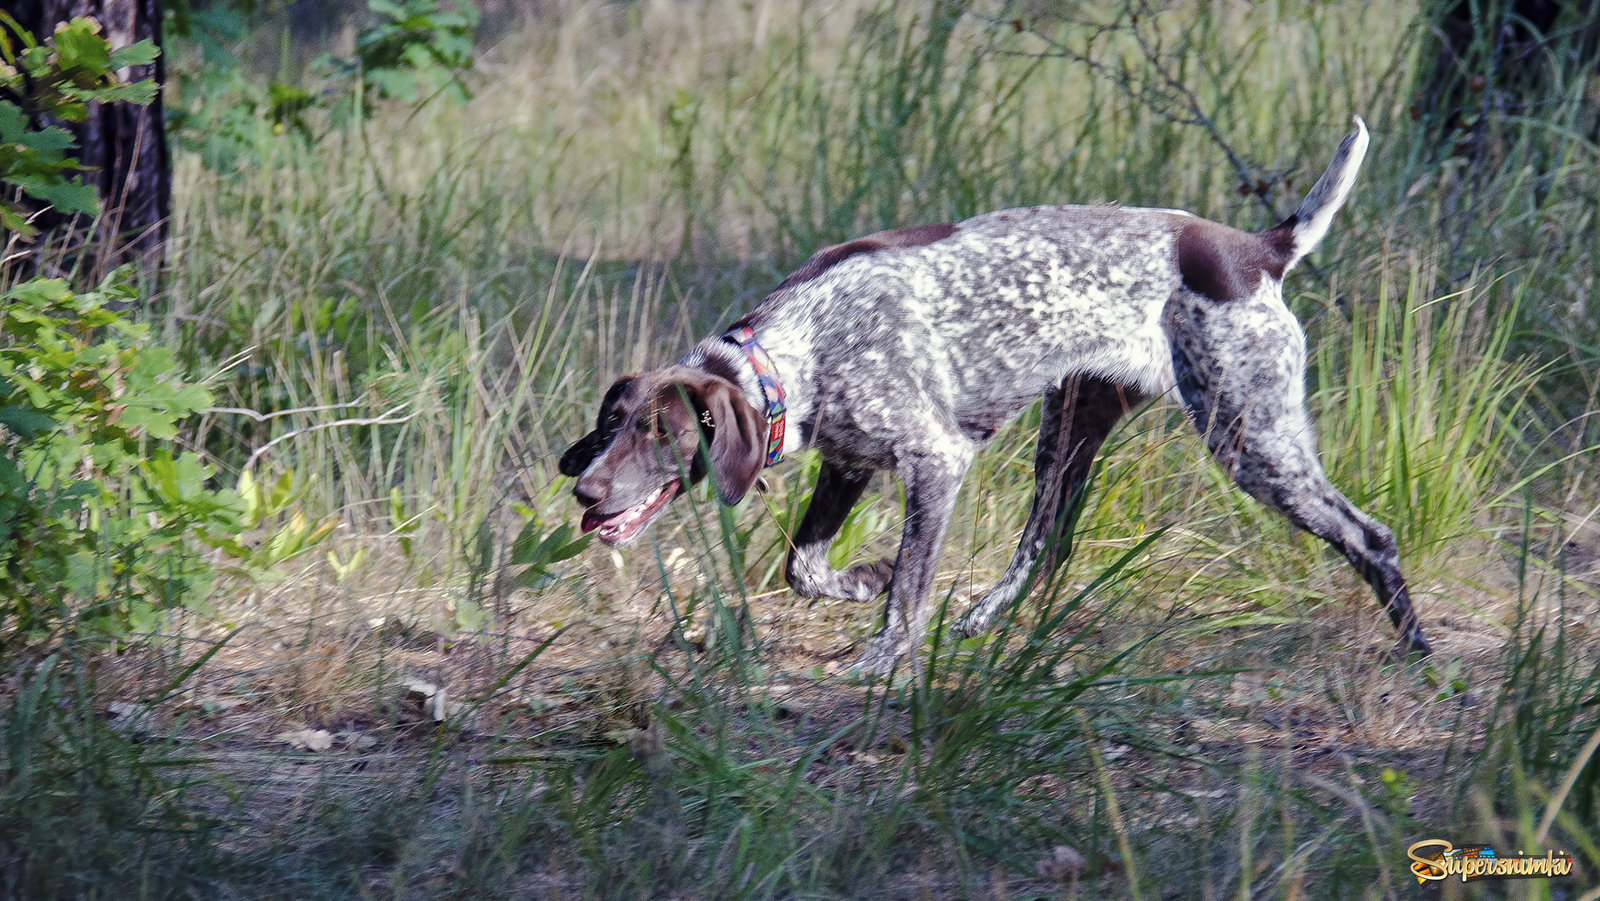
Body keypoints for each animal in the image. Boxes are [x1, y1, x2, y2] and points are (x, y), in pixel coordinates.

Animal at [556, 116, 1433, 672]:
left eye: (663, 432)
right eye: (613, 423)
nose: (587, 492)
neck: (795, 350)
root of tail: (1256, 249)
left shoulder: (934, 462)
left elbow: (906, 591)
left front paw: (882, 652)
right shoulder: (849, 464)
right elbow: (803, 566)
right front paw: (861, 578)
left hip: (1251, 437)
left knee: (1373, 537)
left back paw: (1418, 652)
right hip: (1072, 428)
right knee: (1048, 544)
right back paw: (985, 615)